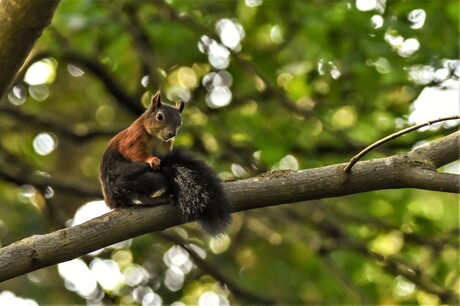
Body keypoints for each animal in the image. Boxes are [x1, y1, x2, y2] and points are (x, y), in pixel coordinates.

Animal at [99, 92, 232, 235]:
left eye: (180, 122)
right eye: (160, 116)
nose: (171, 133)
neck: (156, 138)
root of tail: (113, 201)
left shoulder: (166, 145)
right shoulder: (134, 138)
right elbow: (133, 152)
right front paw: (151, 160)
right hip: (137, 178)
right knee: (143, 193)